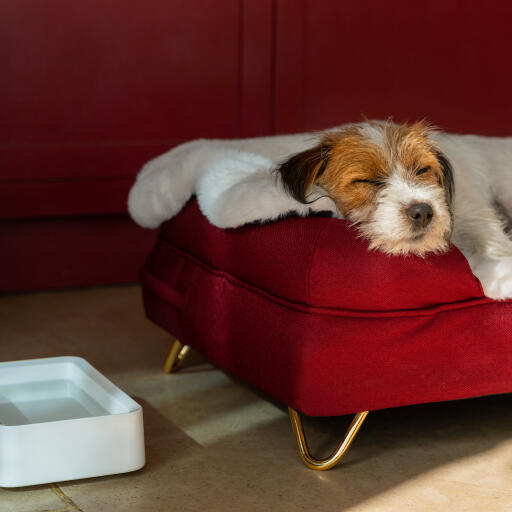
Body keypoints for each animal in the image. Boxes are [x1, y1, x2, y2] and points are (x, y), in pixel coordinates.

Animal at [129, 119, 512, 300]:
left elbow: (488, 242)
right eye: (367, 181)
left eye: (422, 171)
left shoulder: (475, 215)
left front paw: (497, 273)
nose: (422, 211)